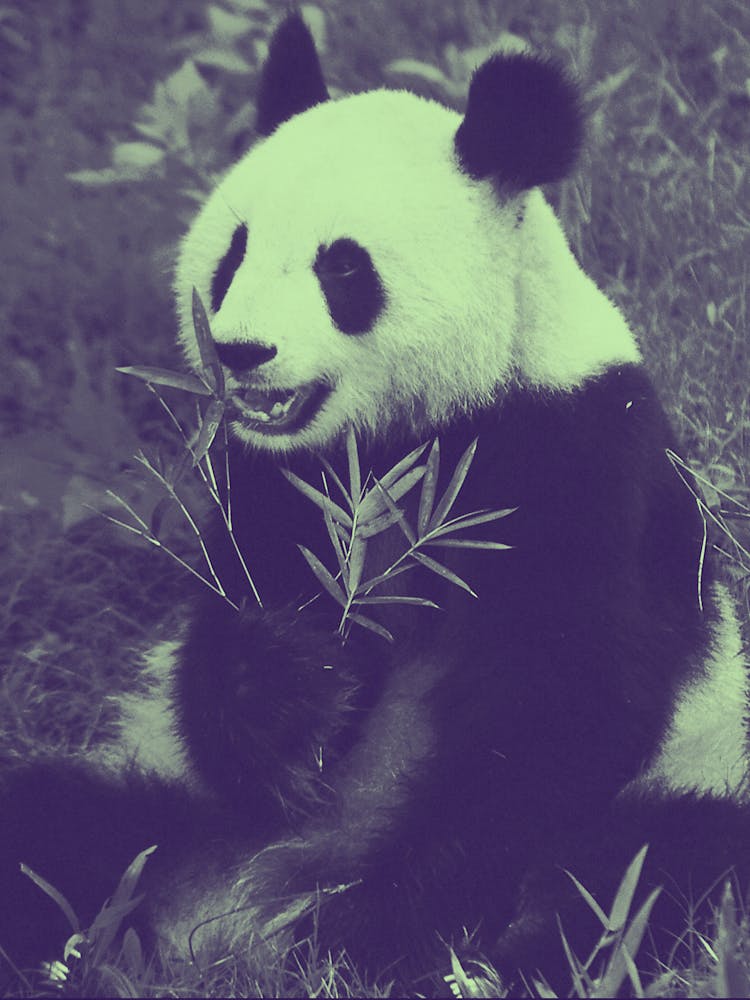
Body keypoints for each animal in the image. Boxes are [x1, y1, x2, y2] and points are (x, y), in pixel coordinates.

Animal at [2, 10, 749, 994]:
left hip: (700, 771)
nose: (241, 353)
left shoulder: (583, 463)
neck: (398, 446)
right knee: (51, 823)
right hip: (162, 803)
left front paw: (381, 927)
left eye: (344, 269)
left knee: (643, 871)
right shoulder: (270, 485)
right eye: (234, 252)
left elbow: (559, 711)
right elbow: (223, 658)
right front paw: (294, 687)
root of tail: (213, 921)